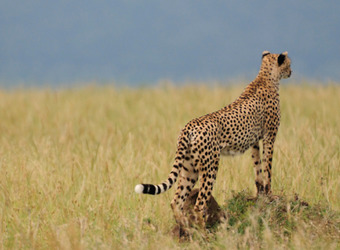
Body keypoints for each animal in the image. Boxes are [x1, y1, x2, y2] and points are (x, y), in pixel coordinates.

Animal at [135, 50, 292, 227]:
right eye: (289, 64)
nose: (291, 72)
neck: (266, 76)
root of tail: (189, 125)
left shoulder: (255, 142)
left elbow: (258, 167)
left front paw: (261, 194)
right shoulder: (269, 137)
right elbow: (268, 168)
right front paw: (270, 194)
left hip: (189, 168)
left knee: (176, 201)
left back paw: (185, 227)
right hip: (210, 166)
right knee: (199, 204)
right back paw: (203, 230)